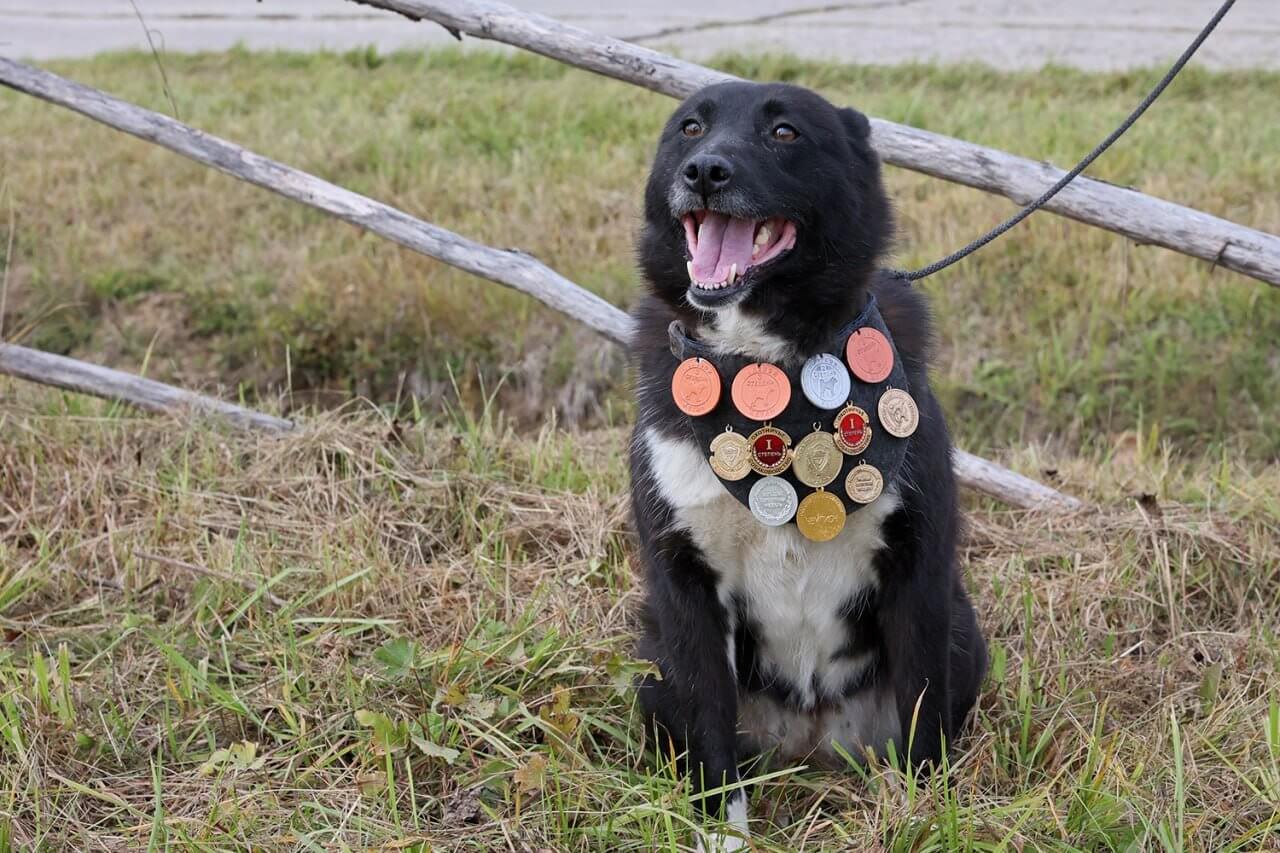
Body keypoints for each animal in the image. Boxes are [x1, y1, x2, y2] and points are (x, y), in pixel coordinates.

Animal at [629, 81, 988, 845]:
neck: (765, 363)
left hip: (963, 631)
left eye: (786, 132)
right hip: (652, 659)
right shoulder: (685, 587)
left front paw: (922, 817)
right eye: (689, 127)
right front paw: (722, 835)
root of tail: (811, 743)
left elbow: (922, 712)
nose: (704, 172)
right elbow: (711, 733)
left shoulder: (918, 568)